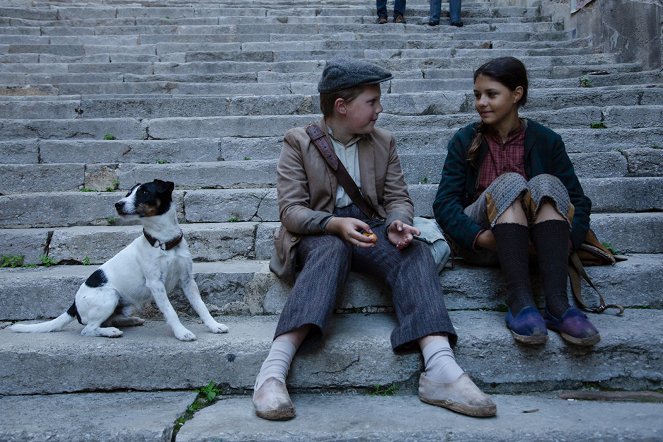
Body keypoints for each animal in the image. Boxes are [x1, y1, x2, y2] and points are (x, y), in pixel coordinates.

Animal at [9, 180, 228, 342]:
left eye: (144, 192)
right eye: (128, 193)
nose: (118, 204)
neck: (164, 242)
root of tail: (73, 307)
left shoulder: (188, 280)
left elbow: (201, 307)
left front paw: (214, 326)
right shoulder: (156, 284)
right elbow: (171, 311)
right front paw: (181, 333)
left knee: (106, 321)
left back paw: (129, 321)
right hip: (110, 296)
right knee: (88, 329)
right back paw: (110, 332)